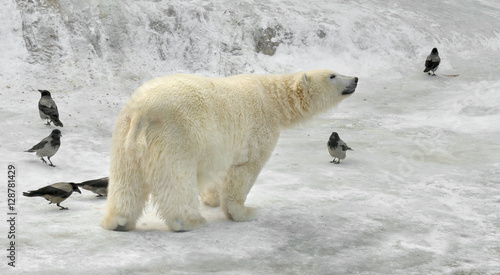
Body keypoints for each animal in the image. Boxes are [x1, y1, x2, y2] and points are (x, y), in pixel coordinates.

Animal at [101, 70, 358, 232]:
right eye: (332, 75)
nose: (355, 79)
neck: (272, 98)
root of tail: (142, 111)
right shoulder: (257, 131)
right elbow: (244, 170)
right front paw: (244, 212)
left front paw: (212, 199)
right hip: (174, 136)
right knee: (177, 180)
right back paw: (190, 221)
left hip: (124, 138)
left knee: (126, 181)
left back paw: (119, 221)